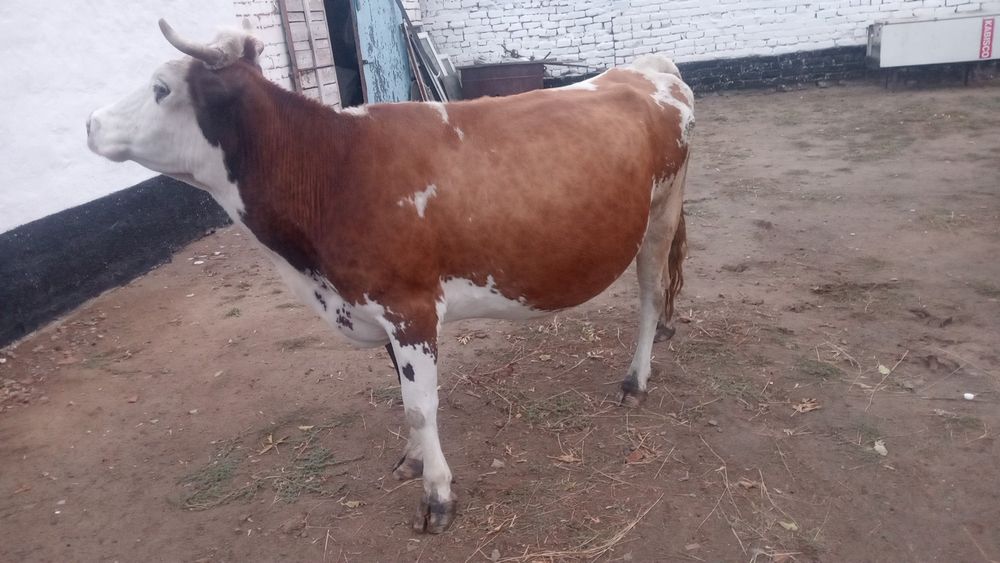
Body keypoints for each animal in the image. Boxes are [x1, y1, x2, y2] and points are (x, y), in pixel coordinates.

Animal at [87, 19, 694, 533]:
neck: (333, 170)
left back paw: (635, 380)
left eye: (161, 88)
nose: (90, 124)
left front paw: (437, 496)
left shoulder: (410, 307)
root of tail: (647, 68)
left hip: (660, 213)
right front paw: (414, 459)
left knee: (650, 294)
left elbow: (420, 405)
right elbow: (404, 397)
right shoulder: (373, 303)